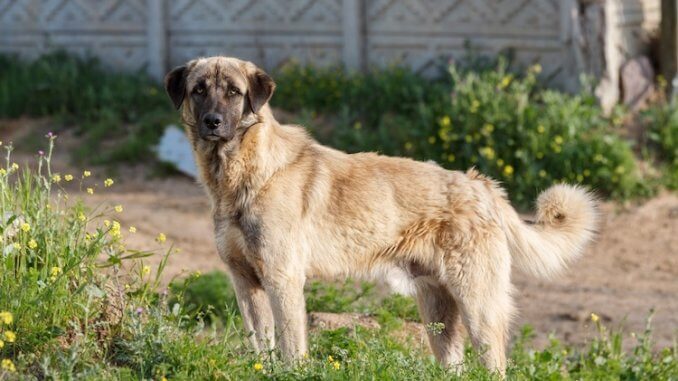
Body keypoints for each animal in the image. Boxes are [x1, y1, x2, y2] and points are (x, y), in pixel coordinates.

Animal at [165, 56, 600, 374]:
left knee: (495, 363)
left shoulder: (282, 279)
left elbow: (290, 347)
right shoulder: (245, 282)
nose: (212, 122)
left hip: (479, 305)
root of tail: (481, 185)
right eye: (199, 90)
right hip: (438, 313)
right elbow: (260, 343)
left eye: (234, 92)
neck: (243, 173)